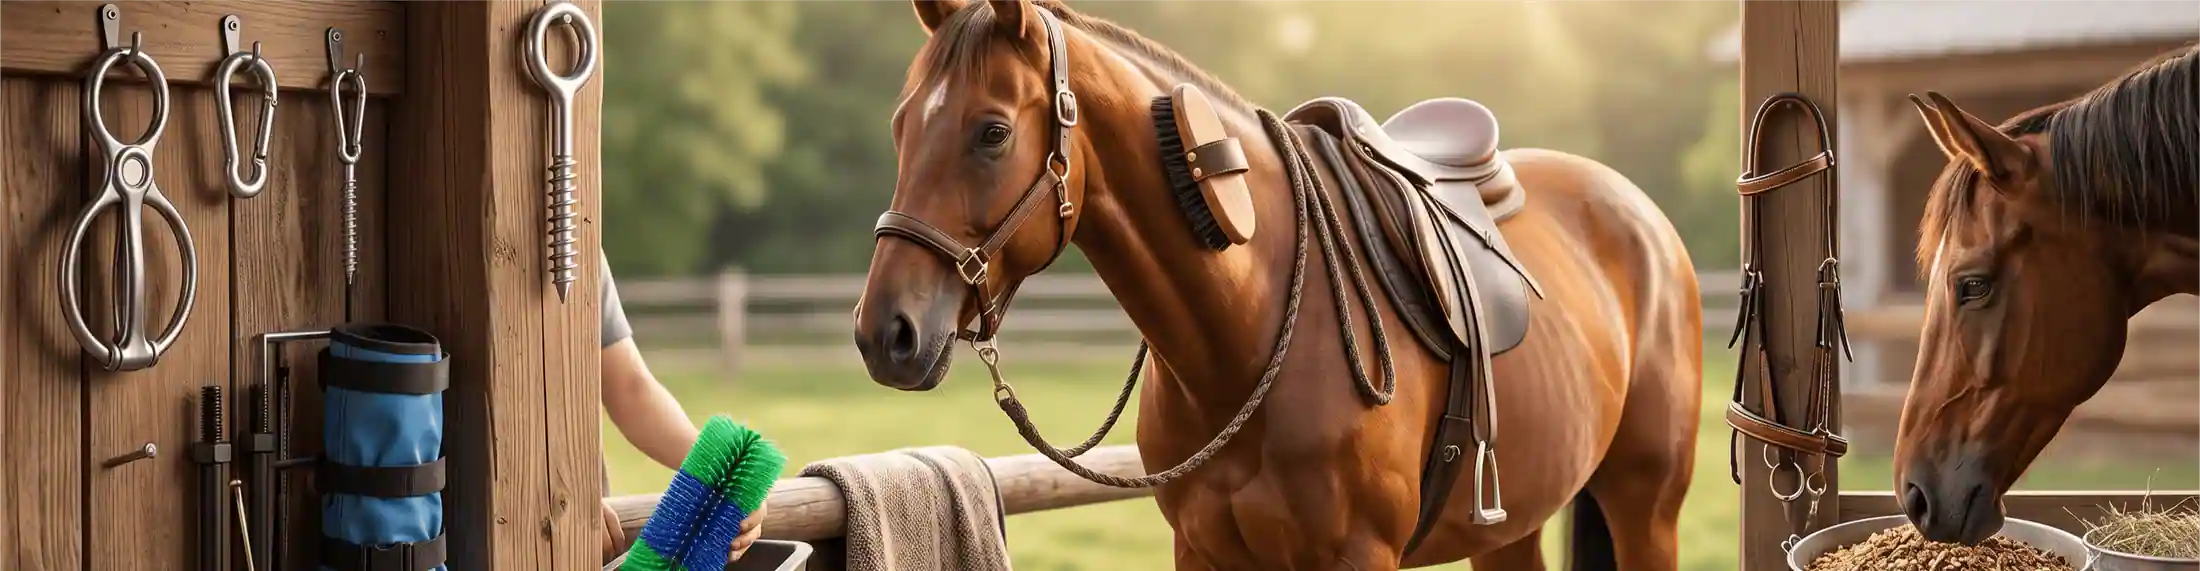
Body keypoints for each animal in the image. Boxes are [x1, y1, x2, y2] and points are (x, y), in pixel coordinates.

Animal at [848, 1, 1703, 568]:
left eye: (991, 132)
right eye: (899, 127)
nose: (886, 332)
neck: (1251, 335)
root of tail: (1644, 219)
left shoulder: (1357, 554)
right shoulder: (1203, 551)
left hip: (1647, 508)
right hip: (1511, 523)